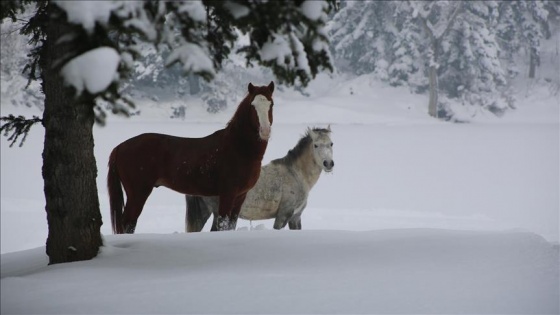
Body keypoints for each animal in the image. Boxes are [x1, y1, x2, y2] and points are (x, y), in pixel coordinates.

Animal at [107, 81, 276, 235]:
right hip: (138, 194)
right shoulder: (227, 194)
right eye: (253, 106)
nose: (265, 131)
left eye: (271, 104)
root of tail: (119, 147)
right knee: (127, 223)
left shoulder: (240, 196)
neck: (239, 148)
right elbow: (222, 225)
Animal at [186, 126, 334, 232]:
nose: (328, 163)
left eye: (331, 144)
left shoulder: (295, 217)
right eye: (315, 145)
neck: (295, 174)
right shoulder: (283, 215)